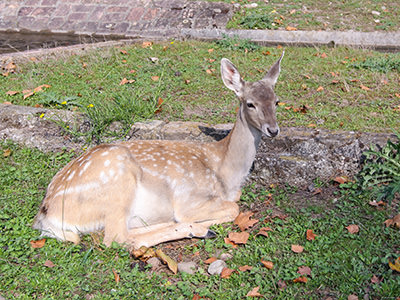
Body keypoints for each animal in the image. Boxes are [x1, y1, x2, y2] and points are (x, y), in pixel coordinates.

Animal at [33, 52, 284, 250]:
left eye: (276, 101)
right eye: (250, 103)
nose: (273, 130)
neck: (225, 172)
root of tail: (48, 215)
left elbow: (235, 202)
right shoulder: (189, 198)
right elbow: (233, 208)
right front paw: (201, 223)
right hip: (118, 180)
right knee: (116, 238)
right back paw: (198, 229)